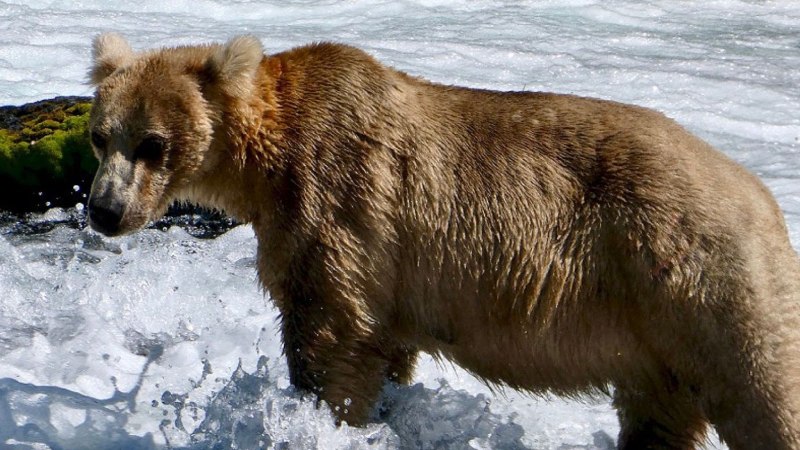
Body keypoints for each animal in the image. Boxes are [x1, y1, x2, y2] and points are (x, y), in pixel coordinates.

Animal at [86, 33, 800, 449]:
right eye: (100, 135)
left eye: (153, 144)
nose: (103, 210)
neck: (268, 159)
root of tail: (763, 200)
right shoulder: (385, 271)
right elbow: (383, 345)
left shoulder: (334, 198)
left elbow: (330, 332)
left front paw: (319, 414)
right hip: (656, 340)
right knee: (659, 416)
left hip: (696, 283)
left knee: (763, 394)